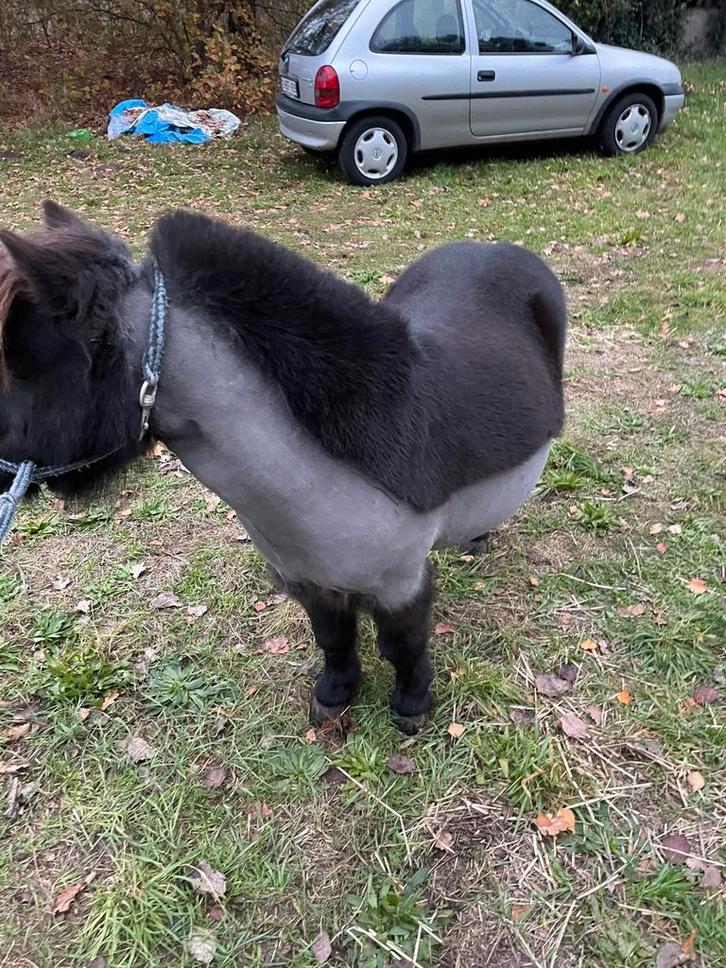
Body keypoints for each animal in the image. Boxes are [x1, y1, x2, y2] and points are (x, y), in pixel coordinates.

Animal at [0, 202, 566, 732]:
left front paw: (412, 704)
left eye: (25, 366)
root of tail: (500, 249)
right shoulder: (308, 581)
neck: (318, 478)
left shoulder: (400, 584)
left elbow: (402, 645)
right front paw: (336, 694)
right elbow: (333, 639)